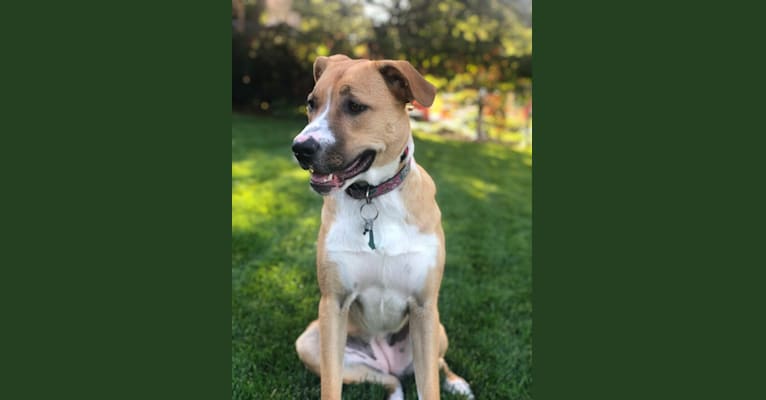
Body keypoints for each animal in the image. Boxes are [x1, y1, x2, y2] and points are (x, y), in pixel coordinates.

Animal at [294, 54, 474, 400]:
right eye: (312, 103)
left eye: (354, 106)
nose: (300, 148)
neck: (373, 197)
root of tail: (389, 361)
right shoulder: (333, 304)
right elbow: (330, 386)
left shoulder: (423, 306)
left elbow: (429, 386)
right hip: (310, 342)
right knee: (390, 380)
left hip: (437, 328)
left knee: (436, 364)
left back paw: (457, 382)